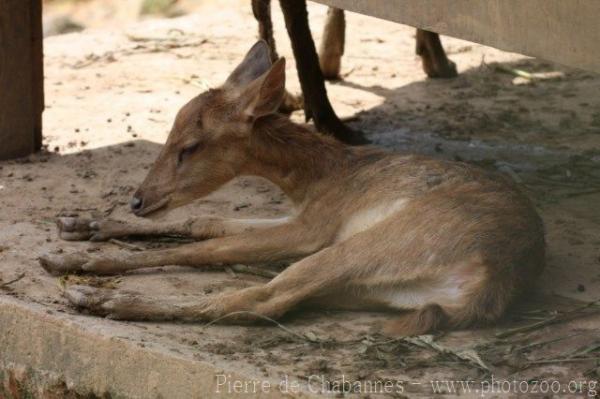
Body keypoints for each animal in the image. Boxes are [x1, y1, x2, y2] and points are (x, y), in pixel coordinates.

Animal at [37, 40, 544, 336]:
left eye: (190, 145)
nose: (139, 200)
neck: (322, 177)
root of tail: (491, 284)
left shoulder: (313, 229)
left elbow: (208, 249)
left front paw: (74, 261)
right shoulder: (301, 216)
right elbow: (207, 221)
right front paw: (80, 224)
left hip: (372, 246)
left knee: (261, 299)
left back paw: (100, 299)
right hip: (368, 290)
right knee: (274, 302)